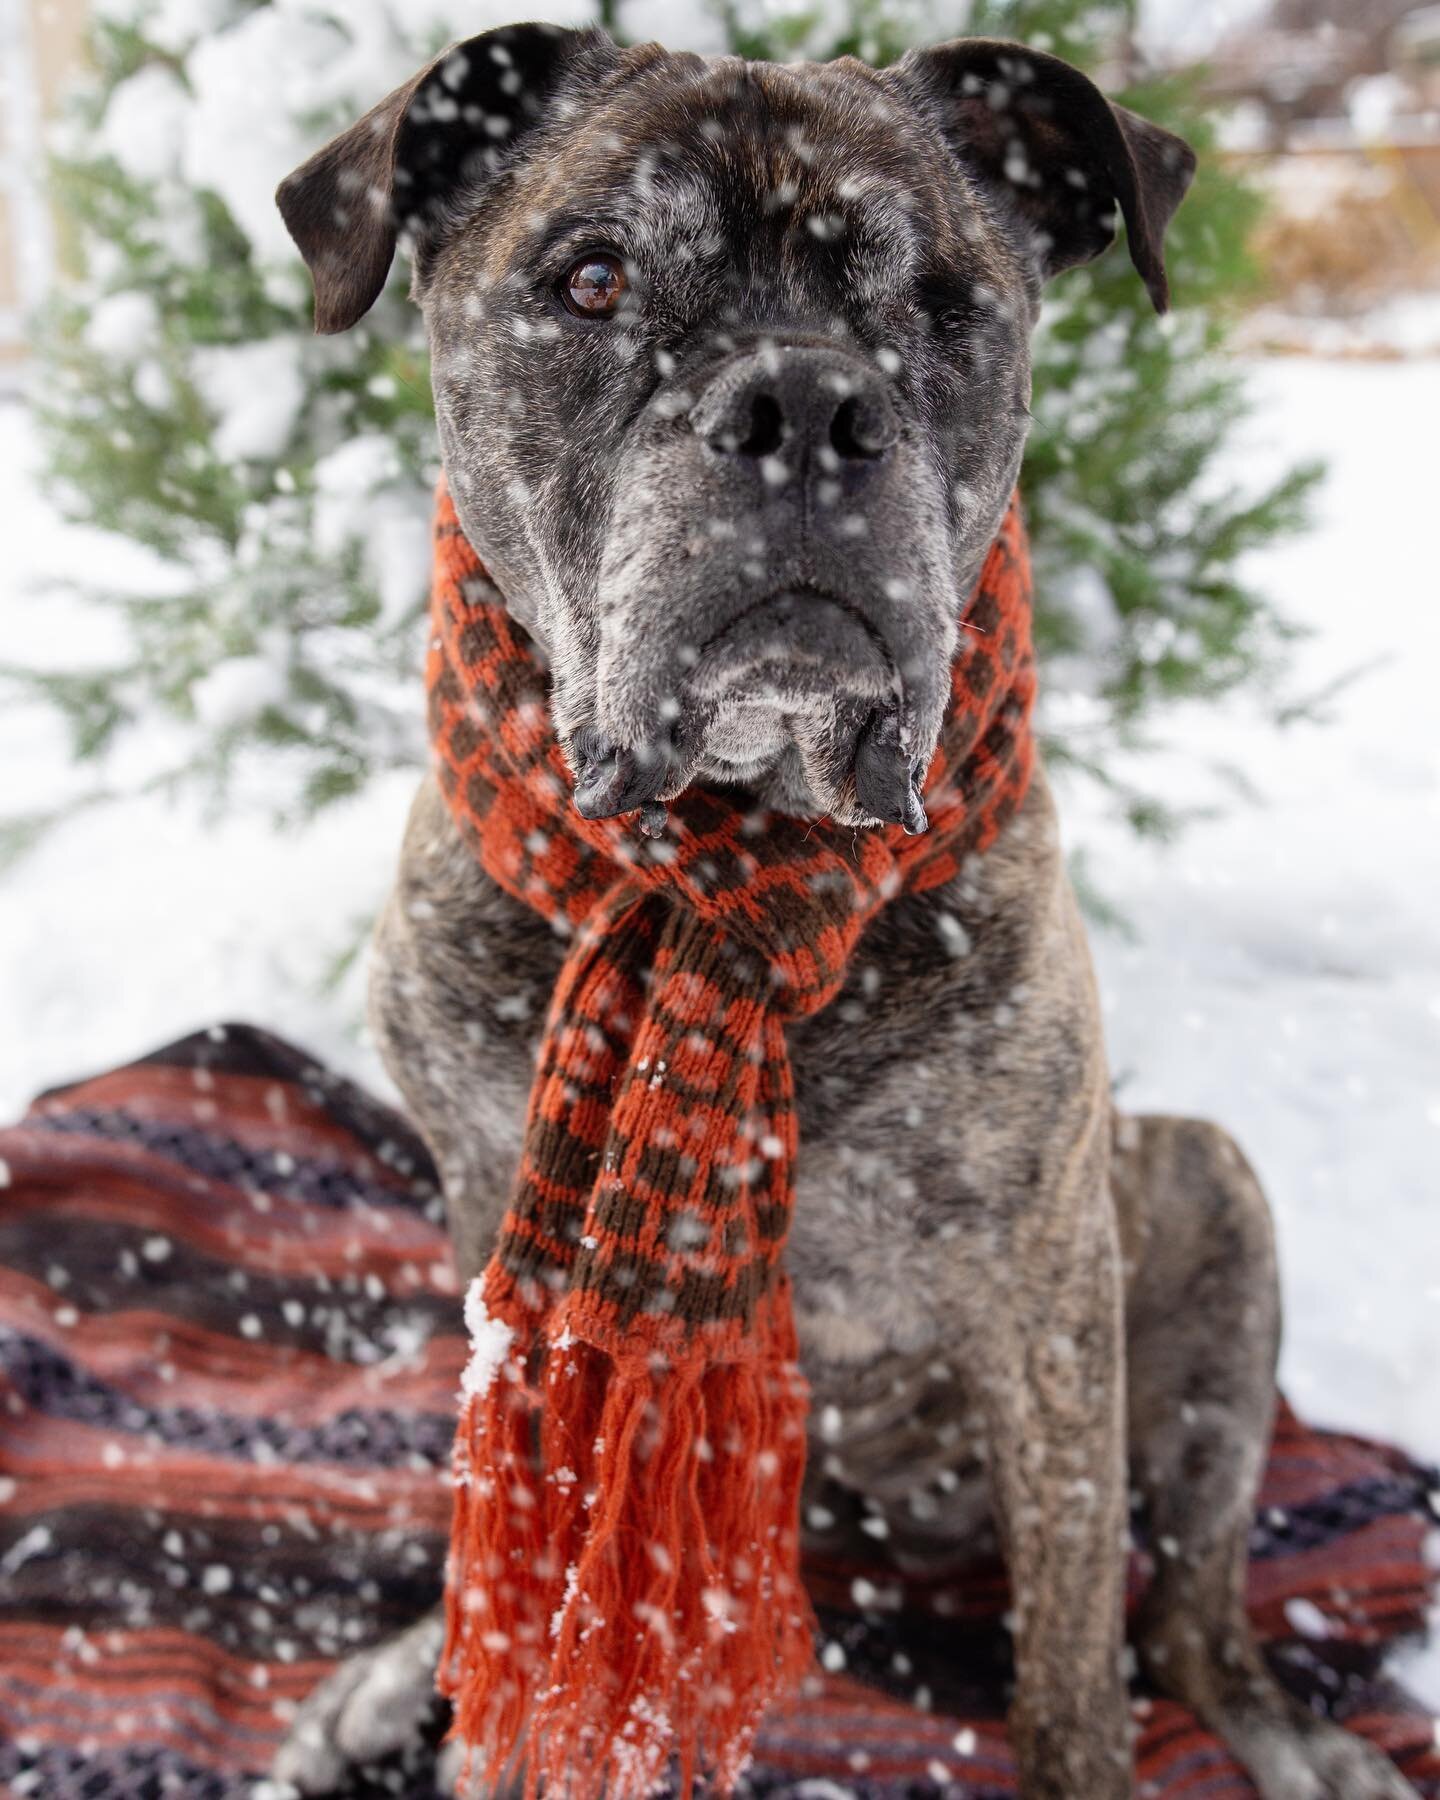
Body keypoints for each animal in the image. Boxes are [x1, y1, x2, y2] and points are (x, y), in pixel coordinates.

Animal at [266, 24, 1418, 1800]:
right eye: (593, 278)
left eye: (941, 300)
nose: (801, 401)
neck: (730, 849)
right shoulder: (490, 1231)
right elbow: (515, 1566)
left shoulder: (1045, 1299)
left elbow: (1073, 1658)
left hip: (1204, 1196)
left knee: (1186, 1621)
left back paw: (1304, 1743)